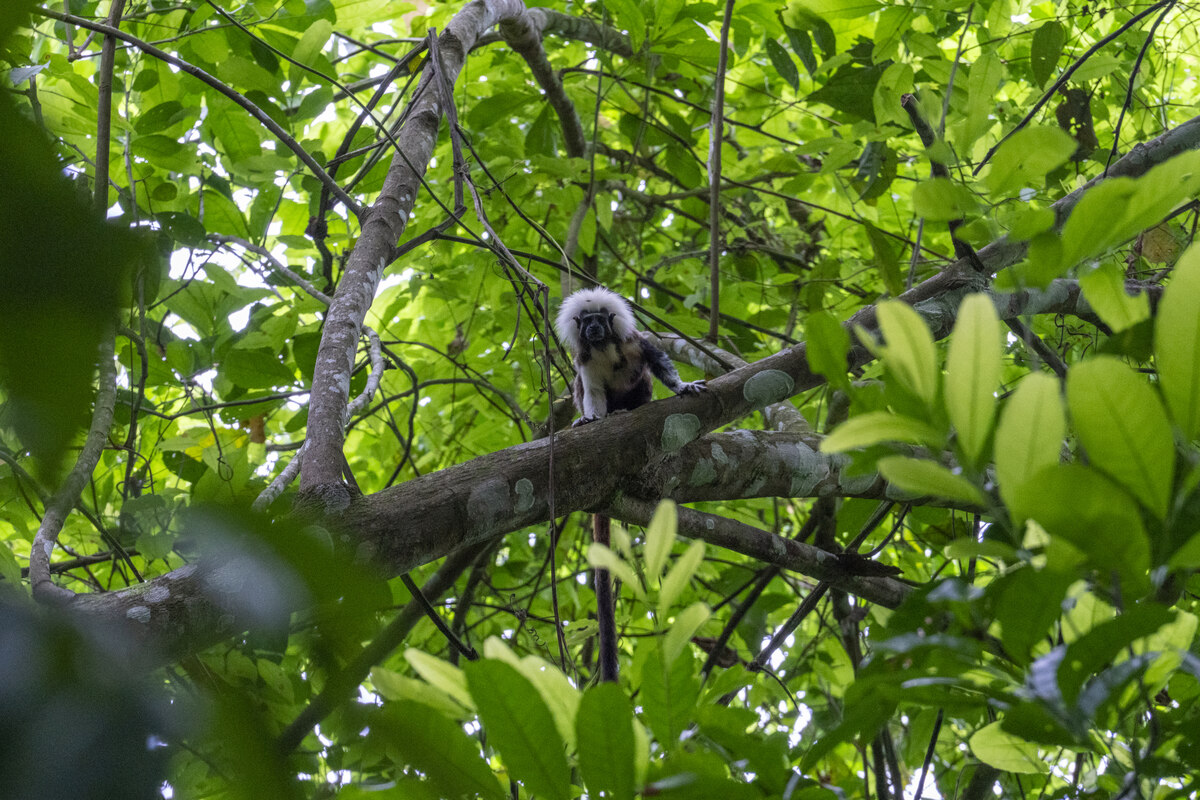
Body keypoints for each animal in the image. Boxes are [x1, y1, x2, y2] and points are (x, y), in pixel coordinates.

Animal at [555, 286, 706, 682]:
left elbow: (658, 363)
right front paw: (591, 419)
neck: (605, 348)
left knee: (643, 383)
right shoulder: (585, 361)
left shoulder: (634, 343)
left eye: (599, 320)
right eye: (586, 322)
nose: (593, 329)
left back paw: (627, 410)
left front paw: (682, 385)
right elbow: (591, 391)